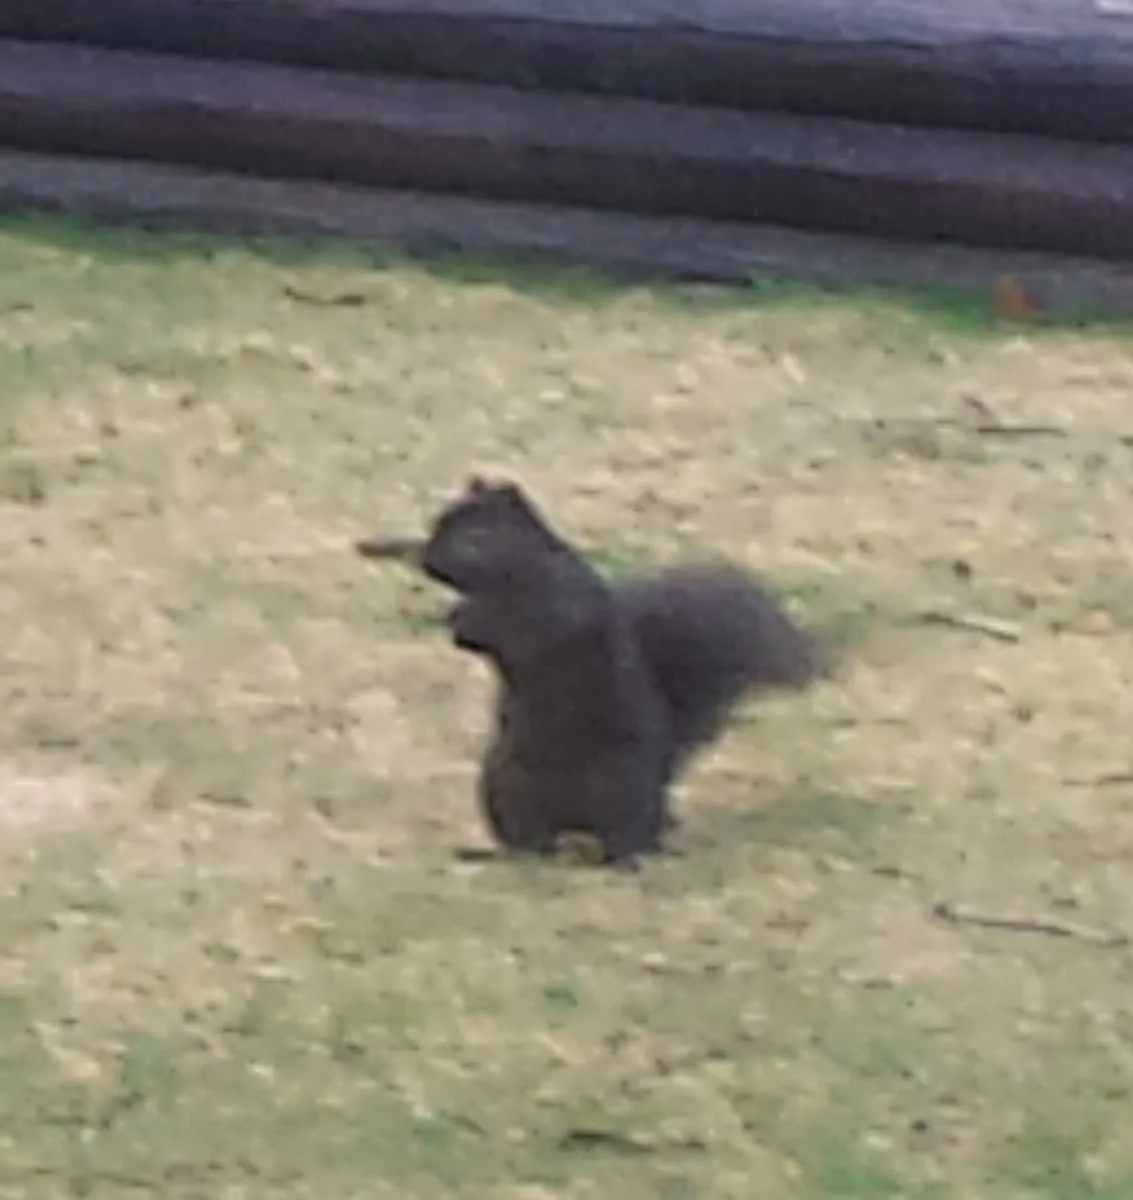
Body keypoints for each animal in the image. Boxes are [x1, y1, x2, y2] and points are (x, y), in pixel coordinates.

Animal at [356, 476, 829, 868]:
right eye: (437, 523)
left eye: (475, 537)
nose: (429, 560)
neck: (518, 570)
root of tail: (574, 822)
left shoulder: (558, 604)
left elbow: (524, 630)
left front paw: (466, 613)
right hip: (504, 784)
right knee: (531, 842)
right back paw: (492, 853)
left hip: (620, 787)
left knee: (625, 838)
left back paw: (627, 860)